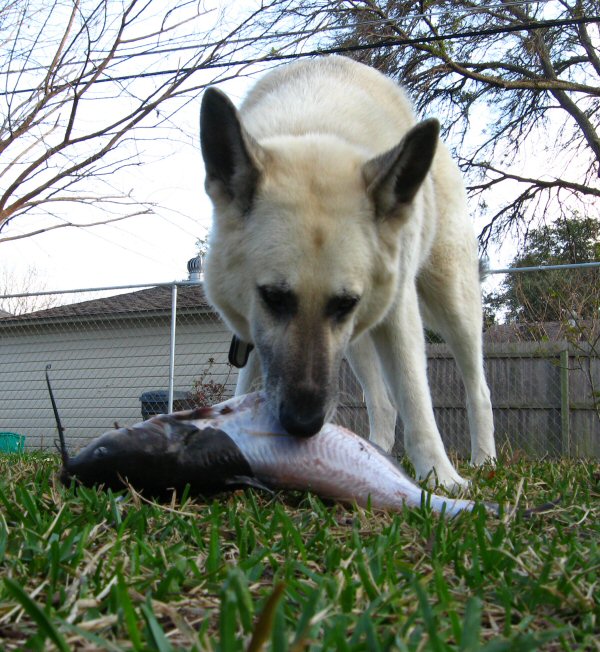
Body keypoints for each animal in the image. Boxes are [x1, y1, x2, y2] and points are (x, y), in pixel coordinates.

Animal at [199, 56, 494, 486]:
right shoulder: (254, 327)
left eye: (345, 303)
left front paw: (439, 475)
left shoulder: (398, 312)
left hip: (452, 302)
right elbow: (250, 374)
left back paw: (484, 459)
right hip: (356, 343)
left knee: (478, 388)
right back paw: (376, 451)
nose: (303, 425)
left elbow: (415, 394)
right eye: (273, 297)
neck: (313, 127)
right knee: (383, 403)